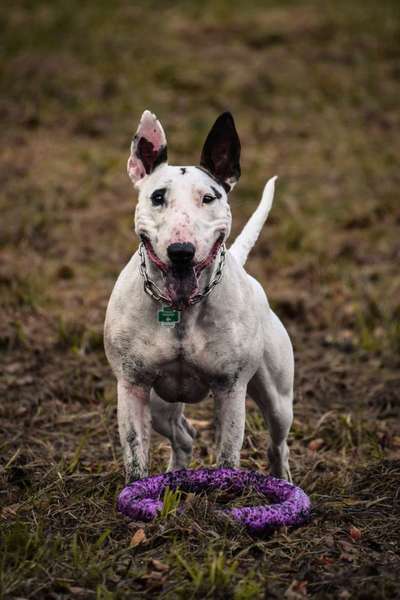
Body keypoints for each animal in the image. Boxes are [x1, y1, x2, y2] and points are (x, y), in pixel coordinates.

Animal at [104, 110, 294, 482]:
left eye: (209, 198)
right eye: (157, 197)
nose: (181, 251)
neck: (181, 309)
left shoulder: (231, 390)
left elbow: (228, 455)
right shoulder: (132, 386)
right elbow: (135, 457)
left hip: (279, 400)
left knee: (278, 444)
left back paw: (283, 479)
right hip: (160, 405)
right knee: (185, 436)